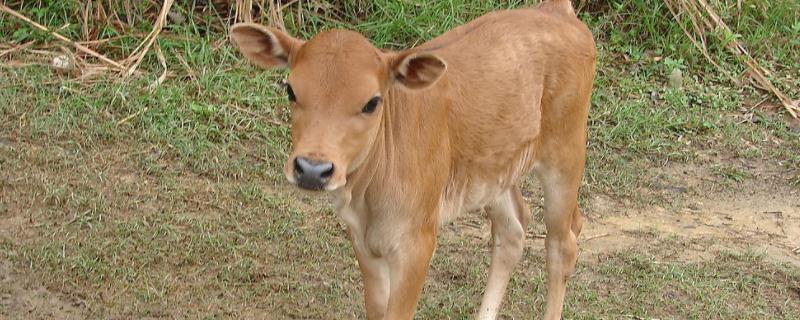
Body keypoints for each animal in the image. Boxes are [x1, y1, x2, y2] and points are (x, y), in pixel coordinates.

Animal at [231, 1, 592, 318]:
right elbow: (377, 309)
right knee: (513, 229)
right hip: (494, 169)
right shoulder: (363, 240)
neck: (368, 197)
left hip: (566, 150)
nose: (312, 170)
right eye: (290, 90)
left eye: (372, 102)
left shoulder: (418, 243)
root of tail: (557, 11)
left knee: (563, 242)